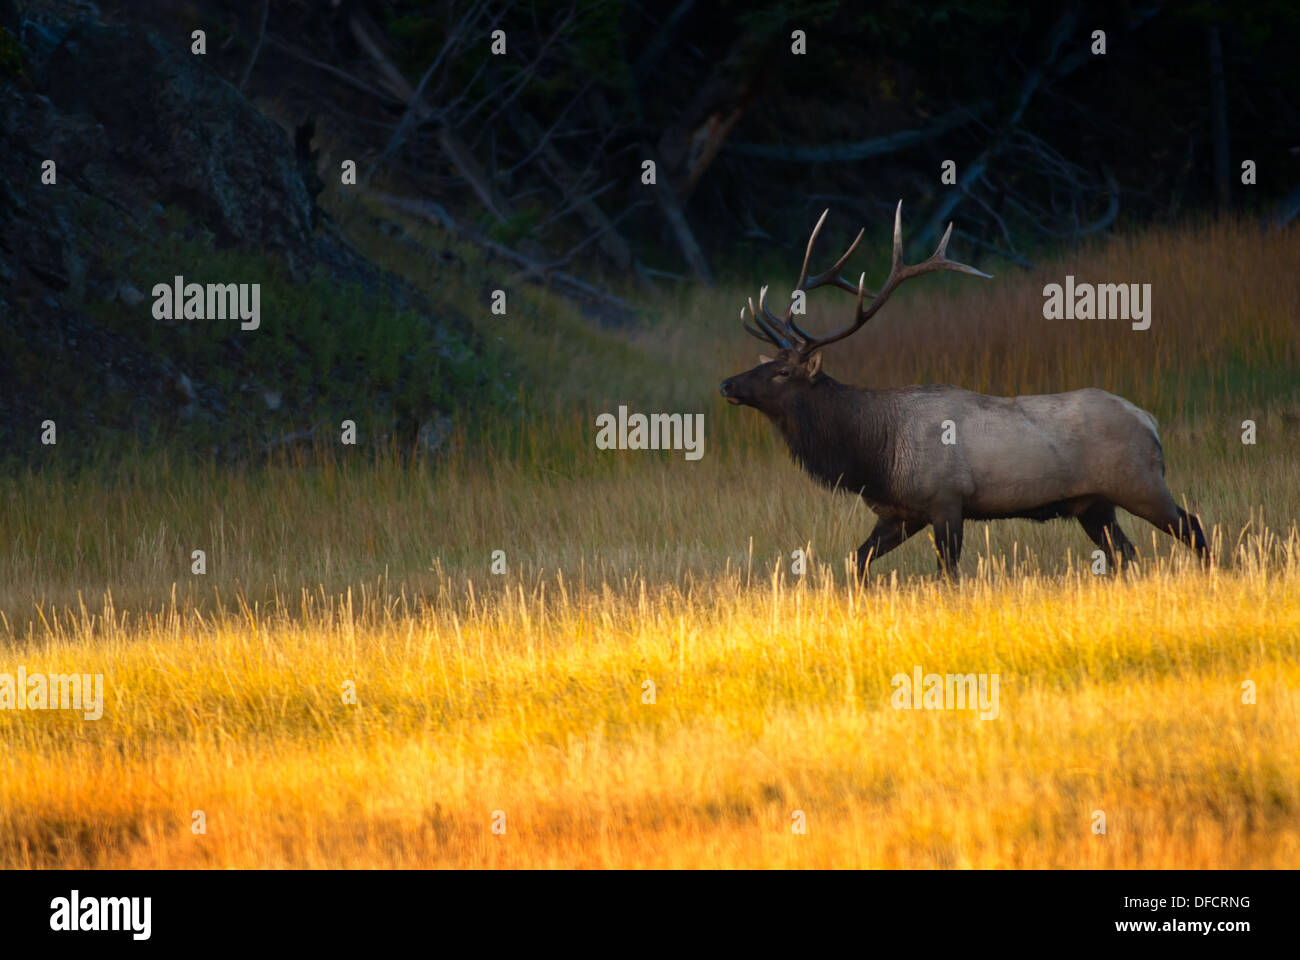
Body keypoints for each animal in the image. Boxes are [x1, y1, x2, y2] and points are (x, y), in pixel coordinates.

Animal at [722, 201, 1206, 574]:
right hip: (1093, 505)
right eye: (767, 364)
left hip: (1141, 483)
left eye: (784, 373)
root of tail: (1149, 420)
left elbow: (948, 575)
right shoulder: (900, 514)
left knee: (1194, 526)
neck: (875, 456)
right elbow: (856, 561)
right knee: (1127, 553)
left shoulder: (946, 501)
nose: (728, 383)